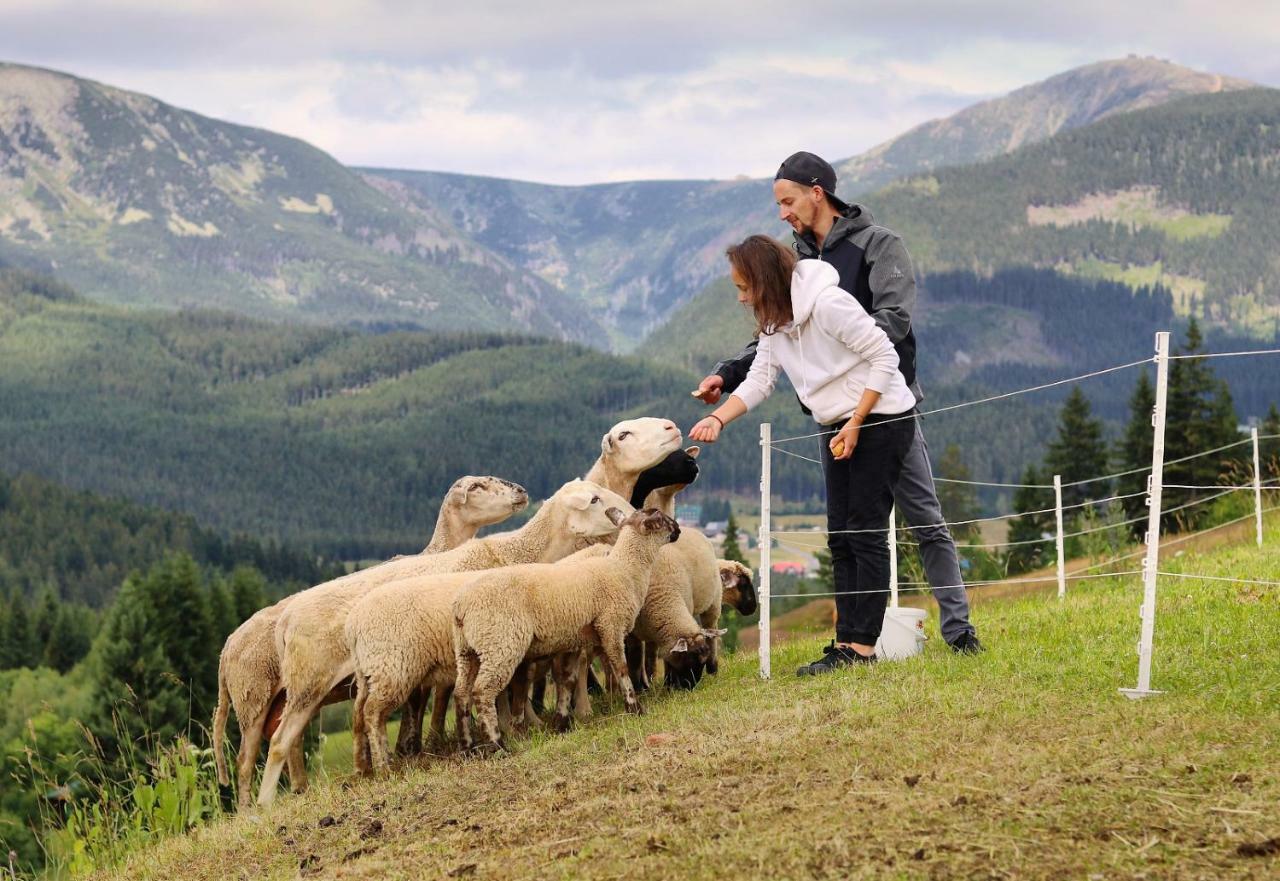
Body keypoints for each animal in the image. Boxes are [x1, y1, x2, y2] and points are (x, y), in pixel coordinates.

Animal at [212, 473, 527, 804]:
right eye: (477, 487)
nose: (521, 492)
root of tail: (227, 646)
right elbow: (423, 703)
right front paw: (412, 748)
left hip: (282, 697)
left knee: (286, 741)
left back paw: (298, 789)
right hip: (256, 699)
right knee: (247, 759)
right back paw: (253, 807)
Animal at [253, 478, 624, 804]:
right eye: (594, 500)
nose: (627, 510)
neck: (515, 553)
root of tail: (284, 619)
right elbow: (503, 691)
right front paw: (506, 732)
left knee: (334, 726)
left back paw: (356, 772)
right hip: (312, 683)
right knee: (280, 741)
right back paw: (264, 804)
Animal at [455, 507, 686, 752]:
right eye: (660, 520)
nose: (679, 529)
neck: (624, 569)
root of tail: (461, 607)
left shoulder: (574, 640)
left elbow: (567, 681)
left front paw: (562, 723)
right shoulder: (610, 625)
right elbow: (621, 669)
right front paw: (635, 708)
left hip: (467, 651)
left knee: (461, 694)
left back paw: (467, 746)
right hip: (500, 643)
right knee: (482, 691)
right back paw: (497, 744)